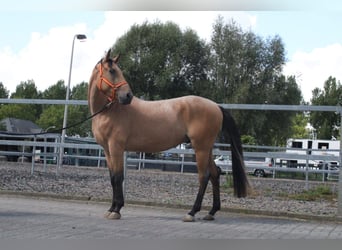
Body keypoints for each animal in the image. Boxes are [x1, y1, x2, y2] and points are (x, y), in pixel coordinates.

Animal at [87, 49, 250, 223]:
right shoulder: (107, 150)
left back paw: (192, 212)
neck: (109, 111)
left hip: (200, 148)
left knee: (204, 176)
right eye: (112, 71)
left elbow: (118, 177)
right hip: (207, 148)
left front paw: (116, 210)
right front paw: (111, 208)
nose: (128, 96)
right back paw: (211, 212)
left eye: (118, 71)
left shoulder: (116, 147)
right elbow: (112, 178)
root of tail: (216, 106)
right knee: (215, 173)